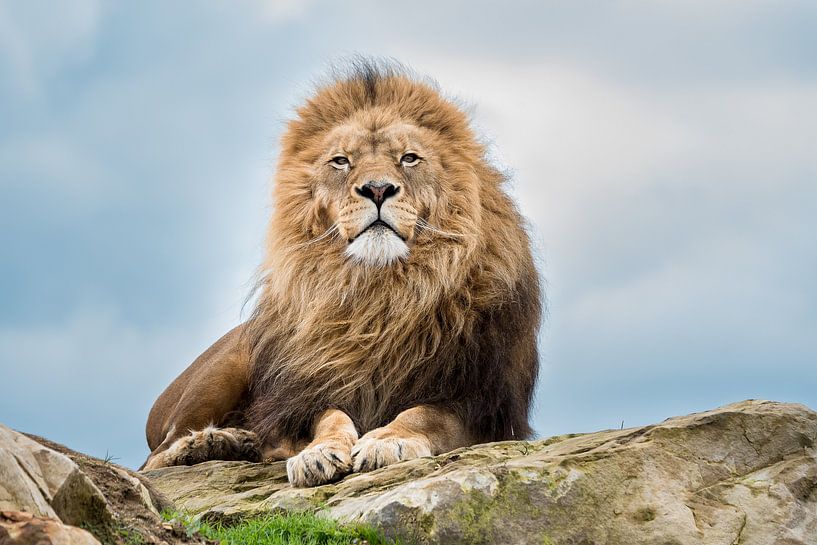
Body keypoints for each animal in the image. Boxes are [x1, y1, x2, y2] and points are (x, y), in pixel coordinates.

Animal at [141, 60, 542, 487]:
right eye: (341, 161)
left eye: (409, 158)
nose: (378, 189)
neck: (380, 295)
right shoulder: (303, 398)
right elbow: (329, 417)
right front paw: (317, 454)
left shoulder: (485, 407)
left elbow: (425, 414)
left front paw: (387, 440)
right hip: (226, 366)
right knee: (152, 460)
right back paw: (215, 443)